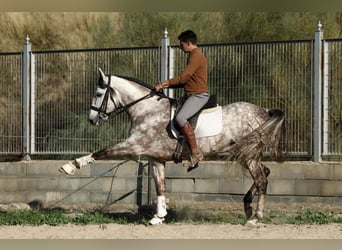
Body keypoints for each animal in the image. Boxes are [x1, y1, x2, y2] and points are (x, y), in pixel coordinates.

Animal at [60, 67, 288, 226]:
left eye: (99, 94)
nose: (91, 120)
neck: (146, 109)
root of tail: (264, 111)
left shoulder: (134, 145)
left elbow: (102, 151)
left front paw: (71, 166)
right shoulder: (156, 158)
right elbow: (160, 186)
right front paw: (159, 217)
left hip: (248, 155)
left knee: (261, 179)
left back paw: (255, 217)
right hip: (245, 153)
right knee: (265, 174)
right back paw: (248, 206)